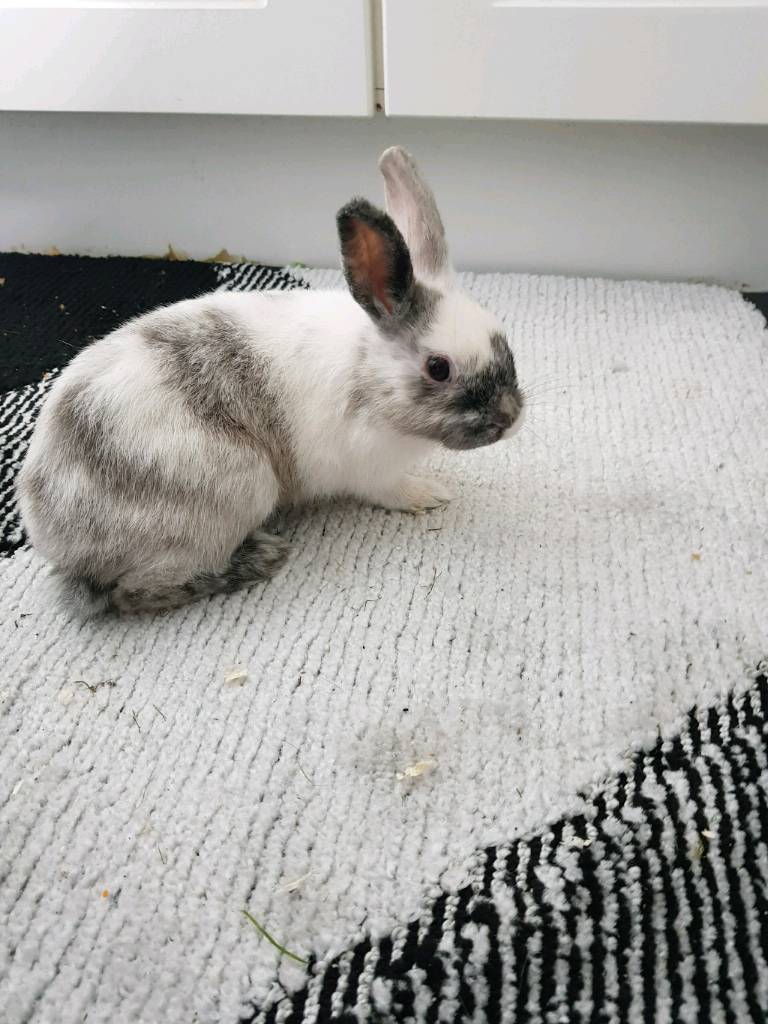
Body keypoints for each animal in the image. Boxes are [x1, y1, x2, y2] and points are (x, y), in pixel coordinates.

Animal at [17, 146, 525, 614]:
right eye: (438, 368)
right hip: (238, 488)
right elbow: (391, 490)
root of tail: (53, 533)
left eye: (503, 339)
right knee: (131, 592)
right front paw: (428, 495)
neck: (368, 372)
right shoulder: (368, 467)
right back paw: (260, 559)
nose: (511, 418)